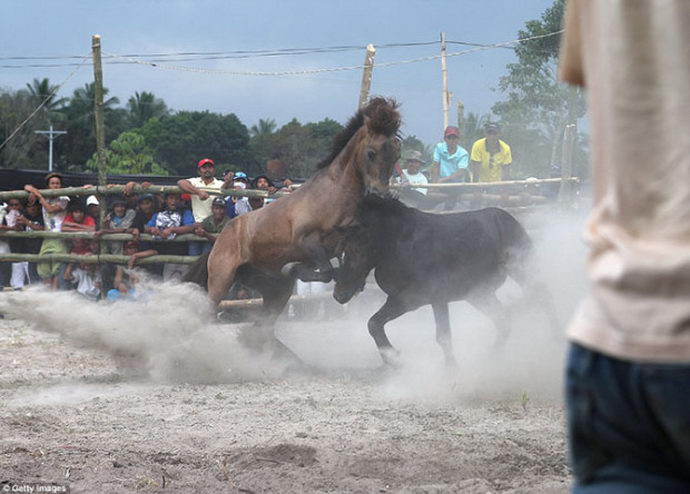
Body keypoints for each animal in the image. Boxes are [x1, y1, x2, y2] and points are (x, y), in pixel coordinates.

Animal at [185, 95, 400, 356]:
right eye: (371, 153)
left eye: (396, 156)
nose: (381, 194)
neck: (334, 196)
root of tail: (218, 242)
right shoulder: (307, 240)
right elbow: (325, 271)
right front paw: (295, 268)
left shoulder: (345, 245)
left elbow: (337, 270)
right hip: (221, 280)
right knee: (210, 315)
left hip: (276, 291)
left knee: (262, 329)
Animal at [332, 196, 560, 366]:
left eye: (354, 249)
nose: (339, 294)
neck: (398, 243)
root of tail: (509, 219)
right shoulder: (404, 300)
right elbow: (374, 323)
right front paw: (394, 359)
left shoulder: (436, 298)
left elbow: (443, 336)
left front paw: (451, 371)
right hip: (479, 295)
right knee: (504, 319)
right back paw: (491, 359)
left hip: (524, 271)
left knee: (544, 296)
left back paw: (554, 342)